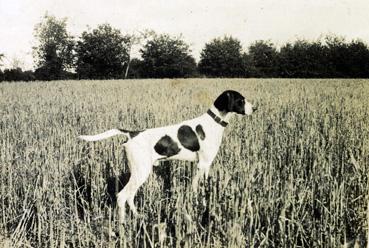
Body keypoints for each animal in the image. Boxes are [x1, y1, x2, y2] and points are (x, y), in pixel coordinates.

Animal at [78, 90, 256, 222]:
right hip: (141, 172)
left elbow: (194, 186)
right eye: (240, 100)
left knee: (130, 197)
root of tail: (131, 134)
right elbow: (205, 189)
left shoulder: (198, 166)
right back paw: (122, 225)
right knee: (122, 196)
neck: (213, 122)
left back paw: (138, 216)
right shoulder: (205, 164)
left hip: (138, 173)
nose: (255, 109)